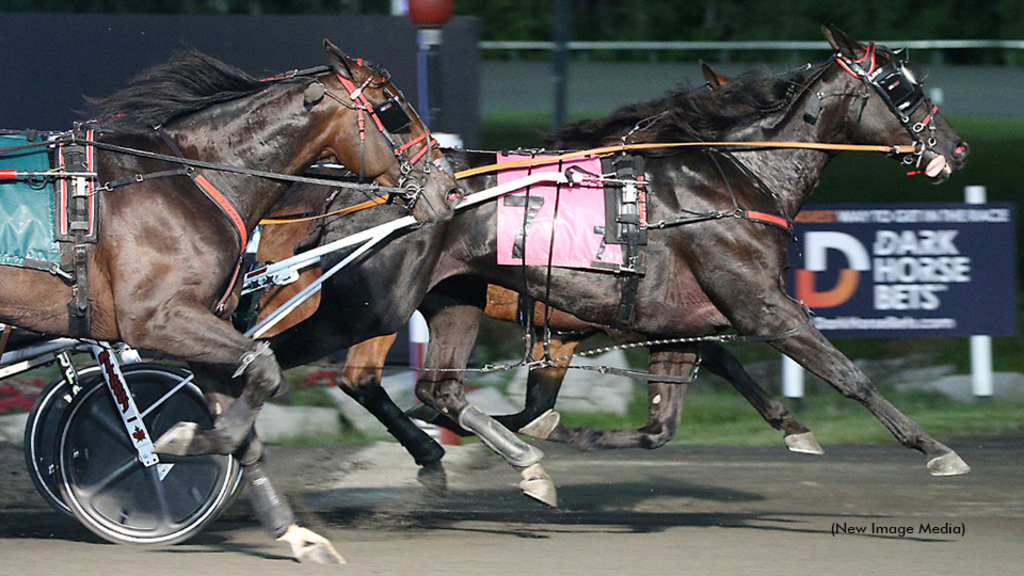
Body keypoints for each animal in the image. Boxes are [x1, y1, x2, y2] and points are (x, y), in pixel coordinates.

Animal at [0, 41, 458, 561]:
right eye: (393, 110)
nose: (449, 188)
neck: (193, 178)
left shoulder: (199, 322)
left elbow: (246, 416)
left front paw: (294, 534)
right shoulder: (158, 319)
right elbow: (262, 369)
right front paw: (166, 446)